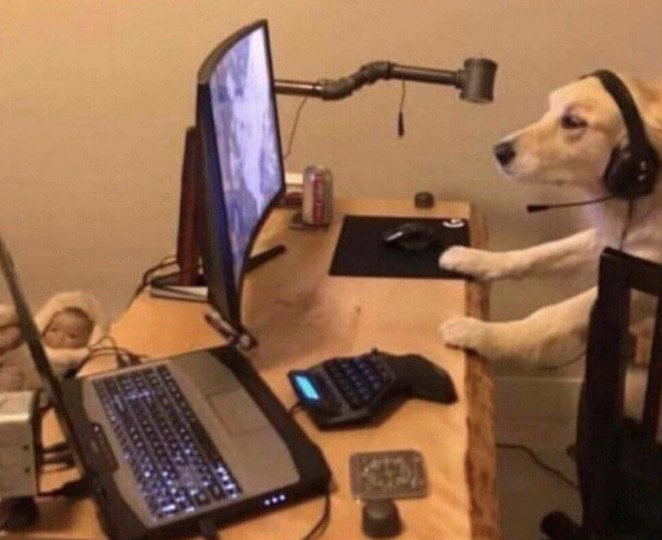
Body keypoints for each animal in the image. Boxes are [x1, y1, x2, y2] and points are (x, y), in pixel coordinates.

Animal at [438, 70, 662, 368]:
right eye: (549, 109)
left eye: (573, 122)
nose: (499, 151)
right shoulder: (612, 242)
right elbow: (538, 253)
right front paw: (475, 258)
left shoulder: (643, 279)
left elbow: (557, 313)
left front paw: (488, 335)